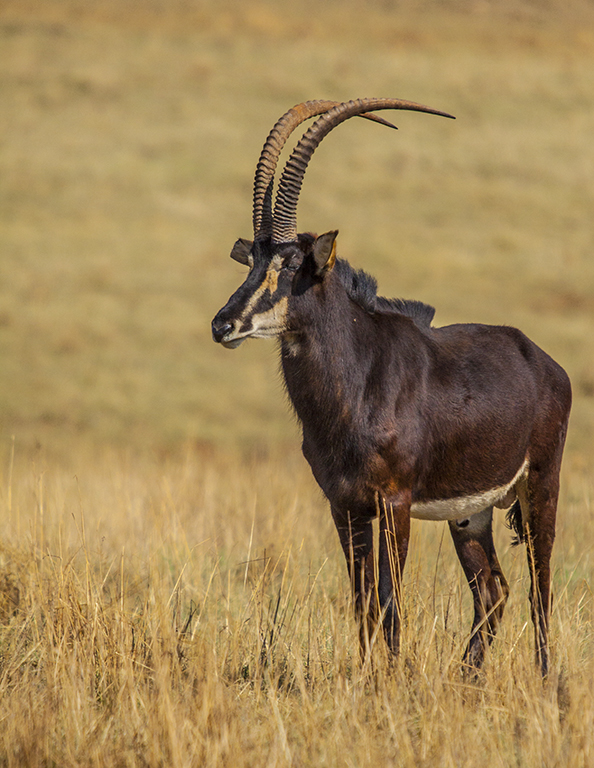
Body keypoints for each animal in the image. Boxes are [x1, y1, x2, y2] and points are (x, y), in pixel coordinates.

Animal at [212, 99, 568, 676]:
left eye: (291, 263)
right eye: (253, 261)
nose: (223, 324)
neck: (358, 382)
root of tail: (545, 362)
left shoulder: (394, 502)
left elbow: (392, 597)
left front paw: (394, 679)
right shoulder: (345, 504)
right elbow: (363, 600)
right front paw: (367, 677)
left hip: (540, 487)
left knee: (540, 587)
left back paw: (542, 679)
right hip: (470, 515)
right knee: (493, 590)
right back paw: (465, 680)